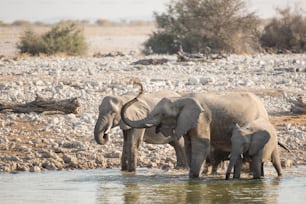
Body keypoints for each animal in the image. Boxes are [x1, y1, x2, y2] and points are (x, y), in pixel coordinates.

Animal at [120, 83, 284, 178]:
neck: (180, 99)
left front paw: (194, 178)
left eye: (160, 114)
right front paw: (192, 176)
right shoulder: (187, 122)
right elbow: (189, 147)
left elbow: (201, 146)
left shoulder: (202, 119)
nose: (137, 93)